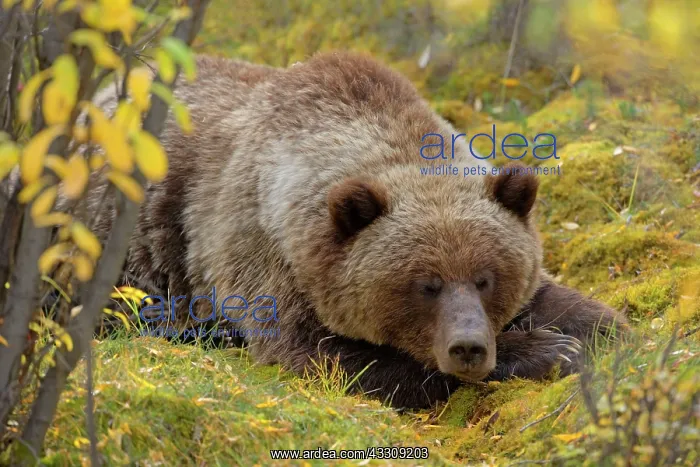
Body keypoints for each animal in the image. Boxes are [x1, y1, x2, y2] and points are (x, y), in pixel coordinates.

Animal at [83, 53, 627, 409]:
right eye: (426, 285)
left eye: (486, 278)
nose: (469, 347)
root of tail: (103, 93)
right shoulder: (264, 257)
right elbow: (332, 356)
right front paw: (548, 350)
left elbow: (555, 298)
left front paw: (605, 329)